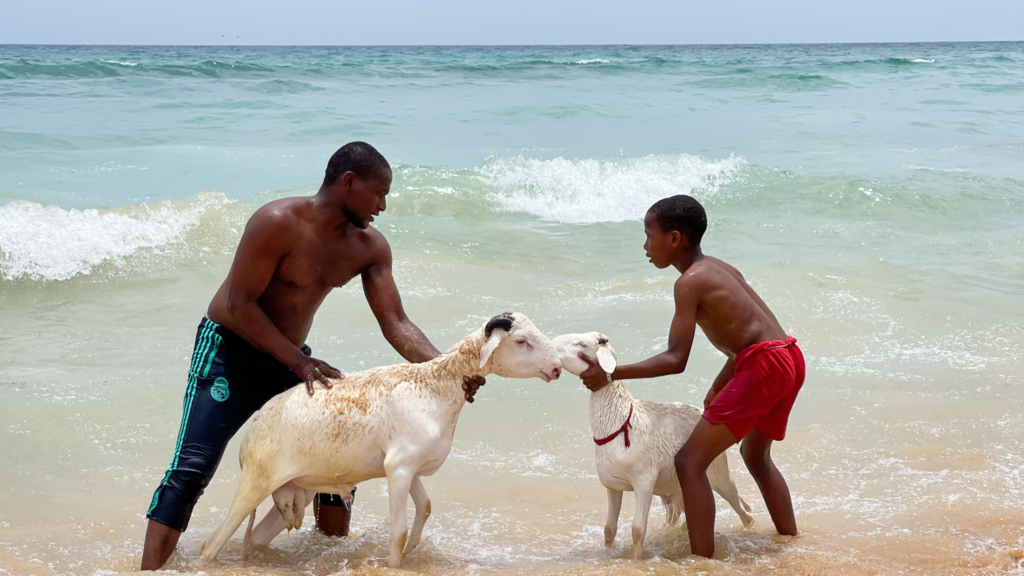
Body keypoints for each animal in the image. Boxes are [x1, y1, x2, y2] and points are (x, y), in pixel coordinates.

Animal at [198, 309, 561, 565]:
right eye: (521, 341)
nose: (557, 368)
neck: (436, 386)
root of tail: (249, 435)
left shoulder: (409, 467)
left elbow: (425, 507)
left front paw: (413, 549)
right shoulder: (398, 468)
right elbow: (398, 530)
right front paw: (391, 562)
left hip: (295, 488)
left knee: (257, 536)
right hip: (257, 480)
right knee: (210, 545)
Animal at [552, 330, 753, 557]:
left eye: (582, 345)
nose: (551, 344)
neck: (622, 422)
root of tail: (703, 412)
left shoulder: (644, 480)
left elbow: (638, 529)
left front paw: (636, 560)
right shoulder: (613, 485)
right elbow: (609, 529)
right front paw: (608, 552)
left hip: (718, 471)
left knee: (743, 511)